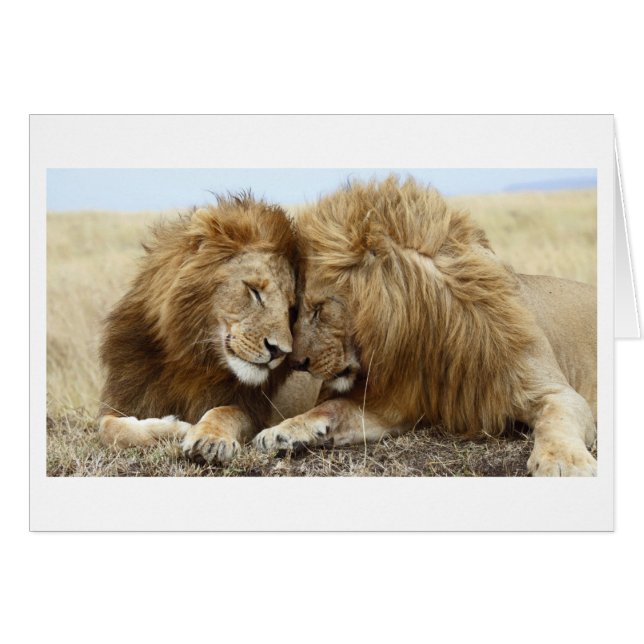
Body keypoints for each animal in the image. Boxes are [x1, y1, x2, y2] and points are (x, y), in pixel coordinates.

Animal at [98, 193, 304, 464]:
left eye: (291, 309)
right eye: (254, 291)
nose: (280, 351)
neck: (191, 358)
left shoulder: (254, 409)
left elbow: (225, 411)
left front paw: (209, 439)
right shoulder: (126, 399)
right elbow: (108, 427)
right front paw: (174, 428)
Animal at [253, 177, 597, 476]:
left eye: (319, 309)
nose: (296, 363)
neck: (429, 333)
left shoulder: (554, 391)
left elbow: (557, 418)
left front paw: (564, 462)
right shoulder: (395, 404)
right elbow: (333, 407)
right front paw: (280, 432)